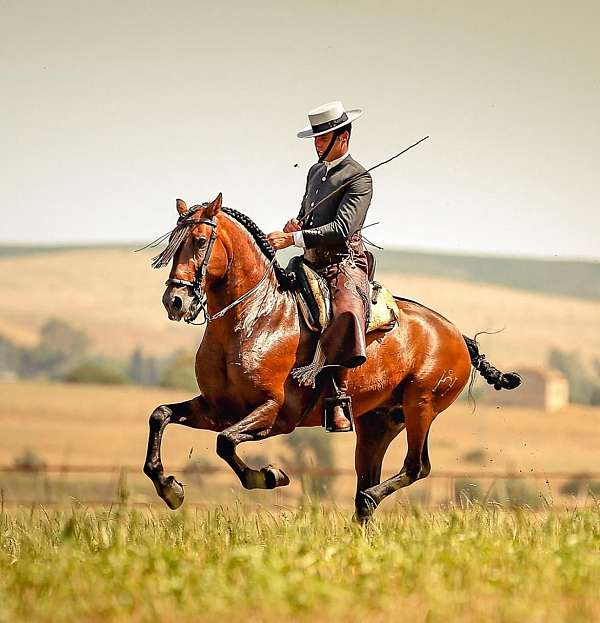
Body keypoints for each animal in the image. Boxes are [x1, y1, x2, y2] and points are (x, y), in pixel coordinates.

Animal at [142, 195, 520, 520]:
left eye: (200, 240)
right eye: (173, 242)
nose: (174, 301)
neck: (254, 318)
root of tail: (456, 334)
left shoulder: (276, 413)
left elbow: (225, 442)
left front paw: (269, 476)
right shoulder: (219, 408)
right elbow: (161, 416)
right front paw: (169, 488)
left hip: (420, 405)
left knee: (415, 467)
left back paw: (369, 498)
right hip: (378, 422)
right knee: (370, 480)